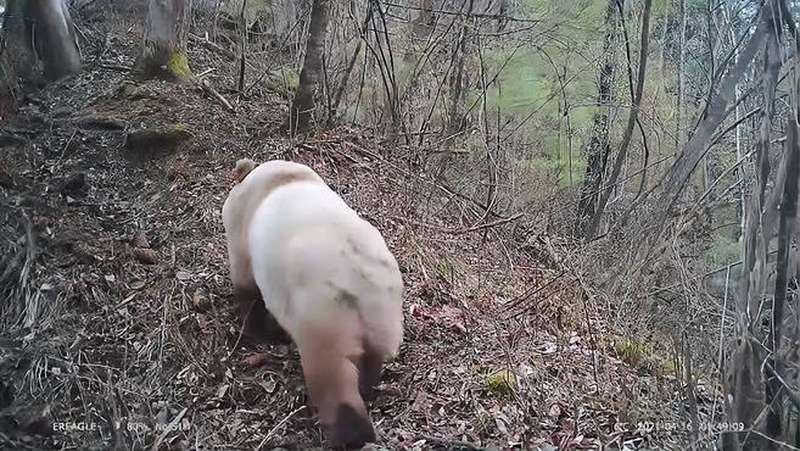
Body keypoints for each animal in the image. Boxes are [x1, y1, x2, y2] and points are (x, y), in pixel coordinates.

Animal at [222, 159, 404, 448]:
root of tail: (365, 277)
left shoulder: (242, 231)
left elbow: (247, 288)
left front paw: (258, 333)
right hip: (384, 318)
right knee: (369, 360)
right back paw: (366, 391)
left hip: (325, 313)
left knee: (331, 373)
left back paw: (350, 435)